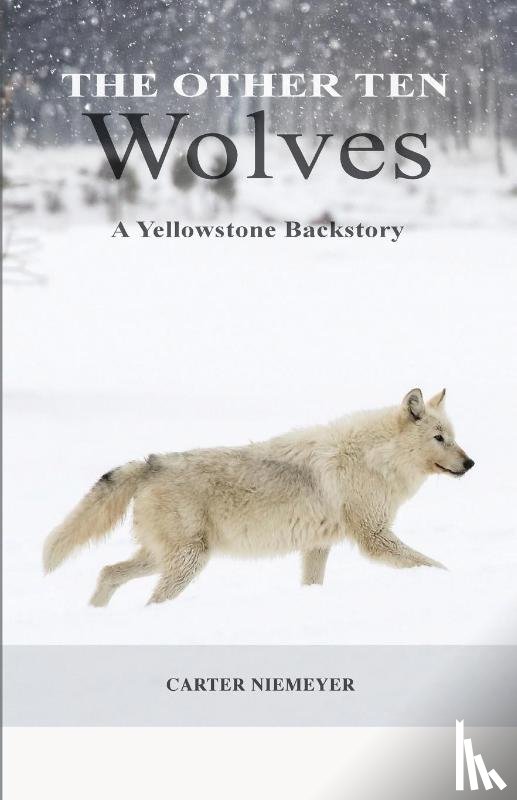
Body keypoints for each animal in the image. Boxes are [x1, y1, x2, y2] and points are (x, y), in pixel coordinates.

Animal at [43, 388, 474, 606]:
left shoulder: (317, 546)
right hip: (188, 561)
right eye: (440, 438)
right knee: (150, 598)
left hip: (161, 558)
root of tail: (151, 463)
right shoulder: (375, 538)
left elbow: (312, 584)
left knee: (108, 572)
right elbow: (432, 563)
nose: (471, 463)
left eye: (453, 437)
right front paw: (450, 581)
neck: (374, 458)